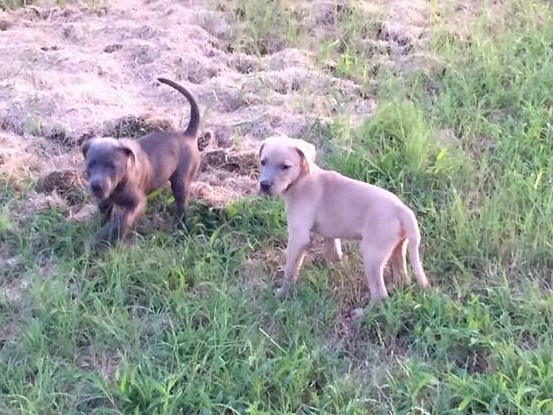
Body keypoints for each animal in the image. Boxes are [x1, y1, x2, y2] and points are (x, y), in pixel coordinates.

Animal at [81, 77, 202, 247]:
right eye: (90, 165)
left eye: (113, 166)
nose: (97, 186)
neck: (118, 185)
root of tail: (188, 135)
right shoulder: (104, 203)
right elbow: (105, 219)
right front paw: (102, 236)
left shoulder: (137, 203)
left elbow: (122, 220)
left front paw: (110, 236)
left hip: (181, 181)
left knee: (181, 205)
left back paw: (181, 227)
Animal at [256, 136, 430, 302]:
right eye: (263, 162)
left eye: (285, 167)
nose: (264, 185)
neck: (302, 178)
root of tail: (402, 209)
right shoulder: (330, 234)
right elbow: (333, 250)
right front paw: (331, 268)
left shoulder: (298, 237)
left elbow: (290, 269)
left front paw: (282, 293)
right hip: (398, 247)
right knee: (402, 276)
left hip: (372, 254)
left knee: (380, 294)